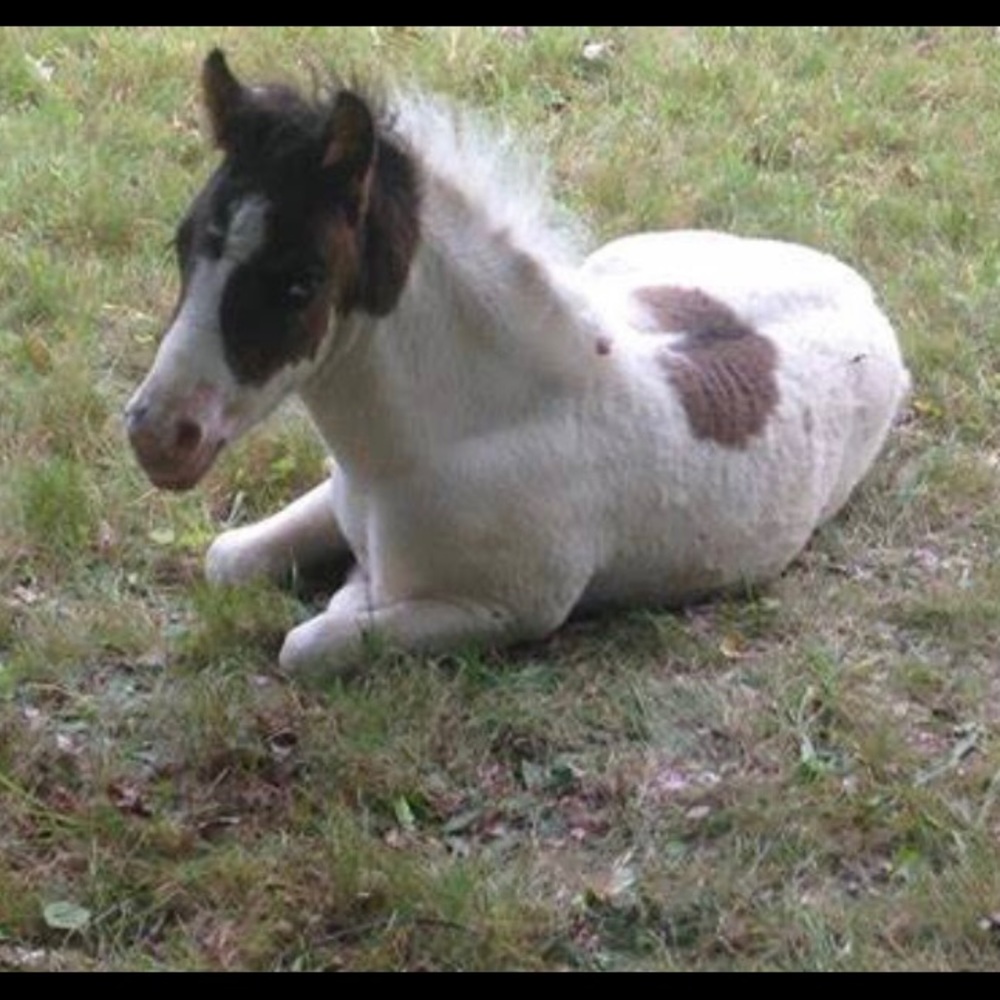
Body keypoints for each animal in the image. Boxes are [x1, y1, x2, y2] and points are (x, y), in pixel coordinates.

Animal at [125, 49, 910, 681]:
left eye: (302, 282)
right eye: (182, 244)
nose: (159, 434)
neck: (468, 429)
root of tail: (860, 286)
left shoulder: (503, 611)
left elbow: (311, 643)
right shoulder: (333, 497)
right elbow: (226, 558)